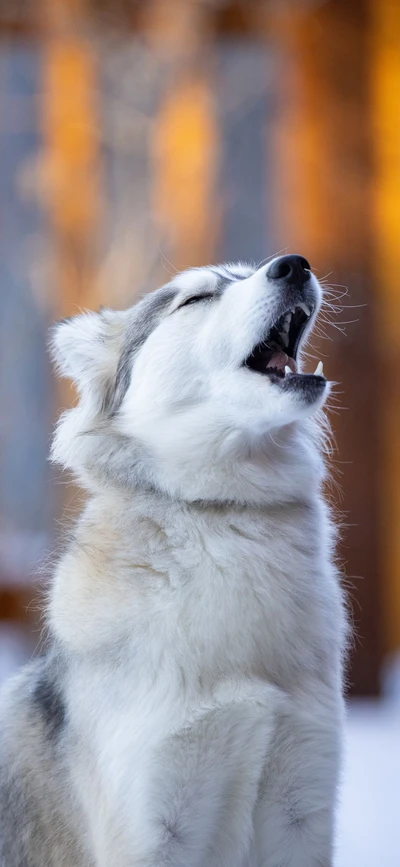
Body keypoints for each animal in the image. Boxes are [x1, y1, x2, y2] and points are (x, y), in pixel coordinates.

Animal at [0, 258, 346, 867]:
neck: (222, 512)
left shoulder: (301, 809)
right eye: (197, 299)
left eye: (248, 271)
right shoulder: (154, 827)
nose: (293, 265)